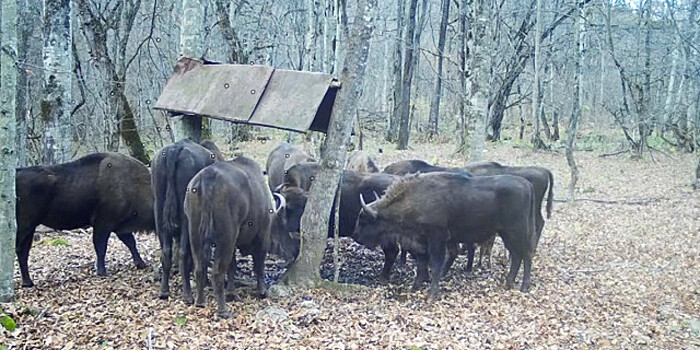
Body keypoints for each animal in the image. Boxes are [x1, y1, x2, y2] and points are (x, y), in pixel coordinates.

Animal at [15, 152, 154, 288]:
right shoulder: (103, 224)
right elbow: (101, 247)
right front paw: (102, 272)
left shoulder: (119, 226)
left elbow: (130, 242)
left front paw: (141, 264)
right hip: (24, 225)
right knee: (19, 249)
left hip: (29, 228)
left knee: (23, 251)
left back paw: (28, 282)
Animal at [152, 138, 223, 302]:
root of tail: (174, 149)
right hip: (186, 220)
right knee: (183, 252)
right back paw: (188, 294)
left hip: (159, 213)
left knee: (166, 252)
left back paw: (164, 291)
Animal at [183, 156, 290, 318]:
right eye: (282, 227)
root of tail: (208, 177)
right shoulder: (261, 238)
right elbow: (258, 265)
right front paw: (262, 291)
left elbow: (232, 266)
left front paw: (232, 293)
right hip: (225, 237)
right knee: (217, 272)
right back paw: (223, 311)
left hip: (195, 234)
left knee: (200, 268)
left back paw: (200, 302)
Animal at [356, 174, 536, 300]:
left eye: (364, 220)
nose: (356, 236)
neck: (415, 199)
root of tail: (527, 185)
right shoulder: (421, 242)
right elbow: (421, 264)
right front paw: (415, 287)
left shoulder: (437, 238)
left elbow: (435, 264)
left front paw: (431, 296)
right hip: (508, 234)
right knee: (518, 255)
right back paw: (508, 283)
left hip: (515, 232)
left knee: (525, 254)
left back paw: (523, 286)